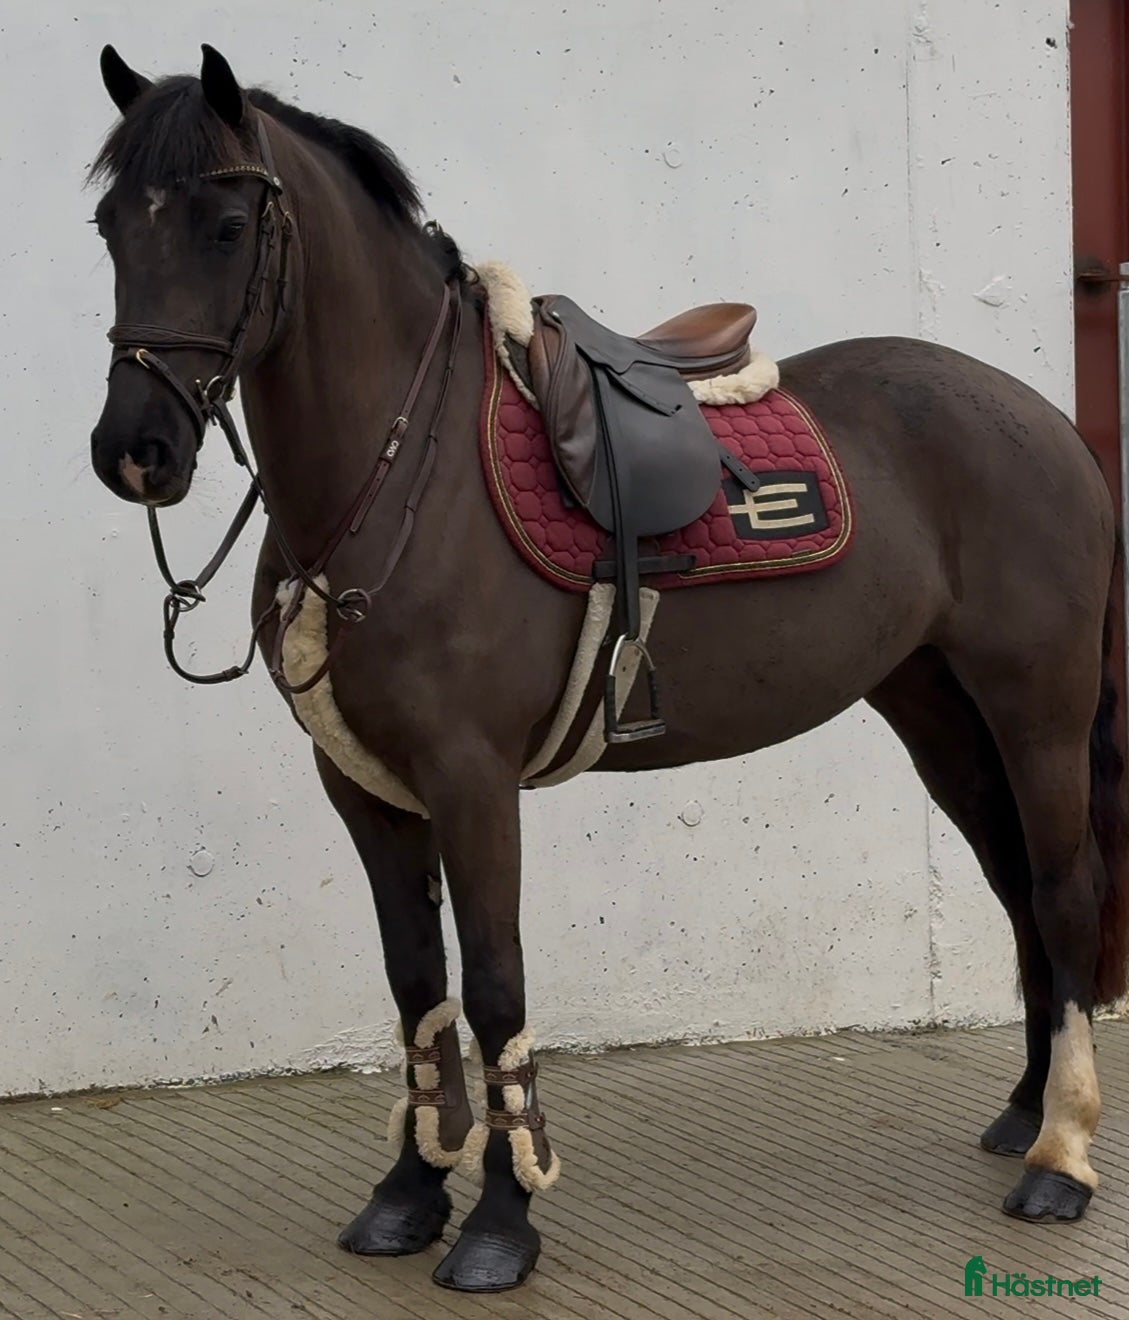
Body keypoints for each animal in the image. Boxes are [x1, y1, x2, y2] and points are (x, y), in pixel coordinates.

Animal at [86, 44, 1128, 1294]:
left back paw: (1061, 1159)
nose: (134, 450)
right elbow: (415, 983)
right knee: (1015, 886)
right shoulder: (366, 790)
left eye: (229, 225)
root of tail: (1044, 421)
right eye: (109, 225)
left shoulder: (470, 780)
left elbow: (494, 985)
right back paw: (1022, 1114)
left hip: (1036, 707)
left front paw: (499, 1220)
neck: (403, 472)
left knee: (1063, 893)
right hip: (936, 710)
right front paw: (408, 1193)